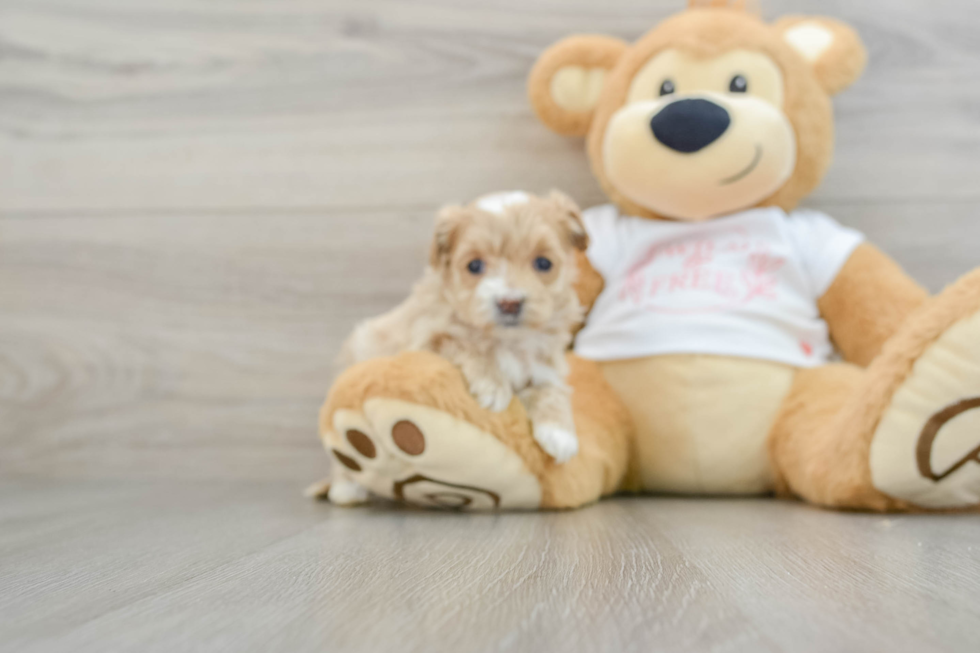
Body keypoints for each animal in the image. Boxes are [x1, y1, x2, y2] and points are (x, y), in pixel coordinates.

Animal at [340, 190, 584, 474]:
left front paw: (560, 433)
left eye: (543, 263)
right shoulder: (426, 342)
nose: (509, 302)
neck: (508, 341)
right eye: (474, 266)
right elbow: (463, 344)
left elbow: (551, 389)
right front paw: (493, 386)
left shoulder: (546, 365)